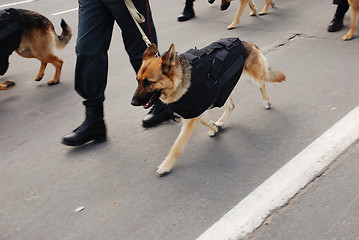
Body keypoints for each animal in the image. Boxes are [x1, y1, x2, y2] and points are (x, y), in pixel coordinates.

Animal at [132, 39, 286, 176]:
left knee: (262, 82)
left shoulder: (191, 117)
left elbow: (177, 145)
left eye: (148, 82)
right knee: (231, 105)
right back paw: (221, 121)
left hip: (253, 79)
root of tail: (247, 43)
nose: (132, 102)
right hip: (224, 87)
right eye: (138, 80)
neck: (178, 80)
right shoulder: (195, 111)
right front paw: (215, 127)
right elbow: (205, 120)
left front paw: (166, 165)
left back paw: (266, 101)